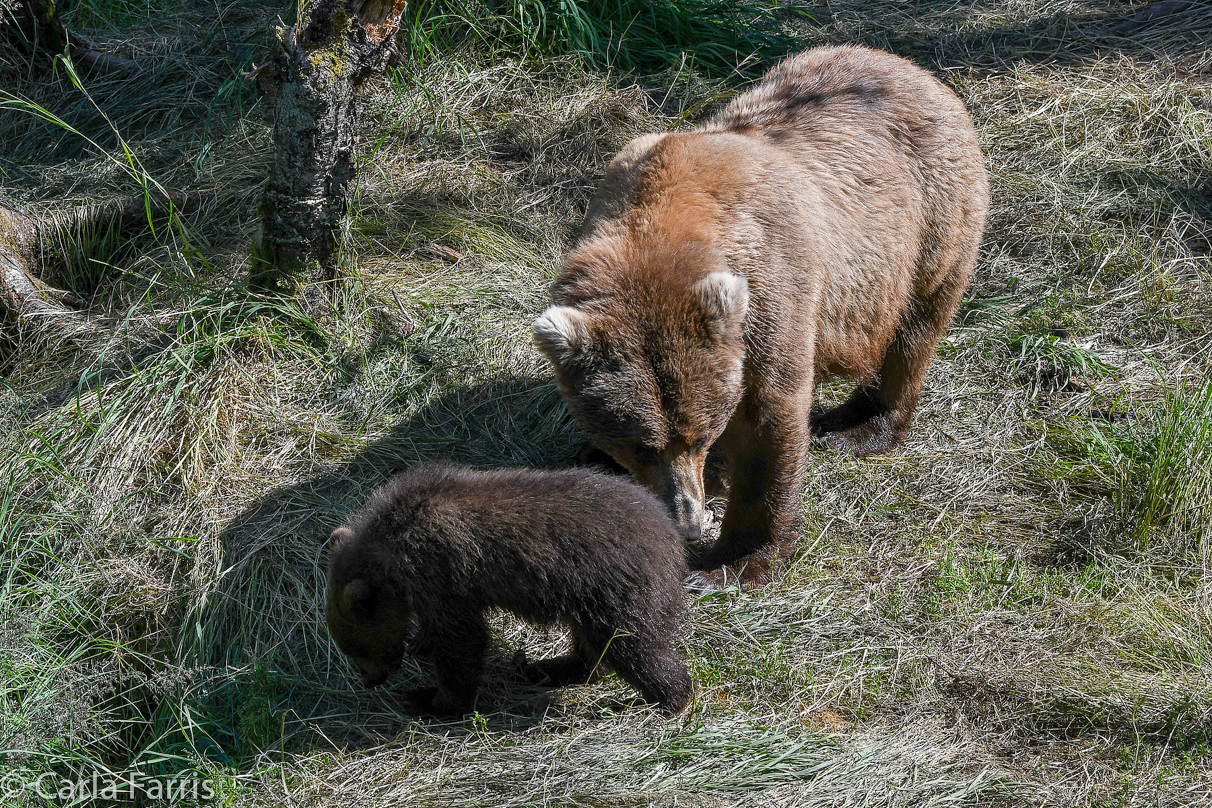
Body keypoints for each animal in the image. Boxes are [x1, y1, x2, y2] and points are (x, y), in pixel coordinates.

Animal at [535, 45, 988, 588]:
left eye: (698, 435)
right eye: (640, 444)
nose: (687, 523)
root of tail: (913, 70)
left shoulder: (772, 290)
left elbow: (767, 421)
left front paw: (730, 559)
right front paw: (601, 462)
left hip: (928, 225)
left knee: (913, 331)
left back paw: (857, 426)